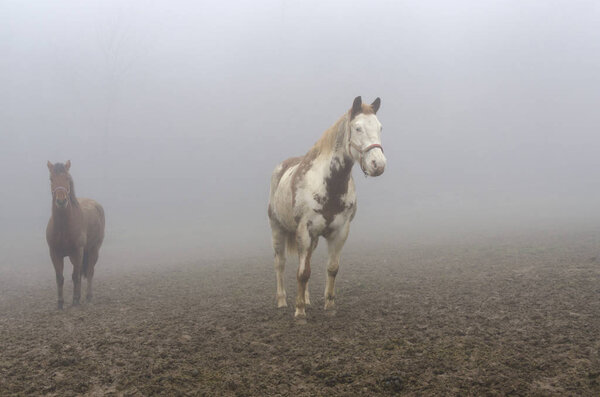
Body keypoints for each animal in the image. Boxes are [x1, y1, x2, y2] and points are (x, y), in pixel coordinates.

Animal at [46, 159, 105, 308]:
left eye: (67, 178)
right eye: (51, 179)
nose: (61, 201)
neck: (63, 227)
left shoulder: (77, 252)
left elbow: (75, 276)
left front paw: (75, 300)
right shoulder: (54, 253)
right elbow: (59, 277)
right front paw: (60, 303)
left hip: (93, 250)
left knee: (89, 272)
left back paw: (88, 297)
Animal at [266, 96, 384, 322]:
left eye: (380, 127)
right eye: (357, 128)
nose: (378, 165)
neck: (327, 185)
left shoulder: (340, 231)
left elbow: (331, 268)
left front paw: (329, 306)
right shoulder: (304, 231)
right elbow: (303, 273)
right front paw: (299, 312)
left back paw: (307, 299)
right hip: (278, 230)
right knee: (280, 264)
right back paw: (282, 301)